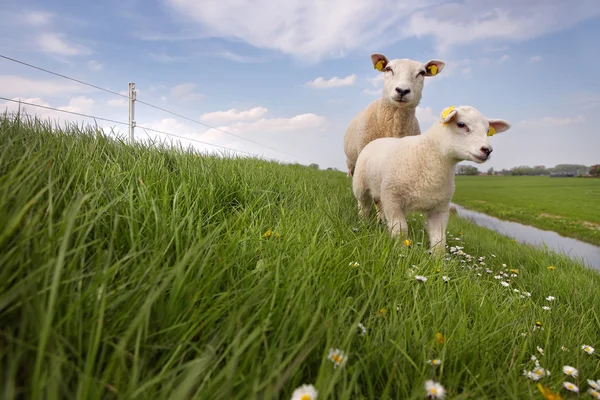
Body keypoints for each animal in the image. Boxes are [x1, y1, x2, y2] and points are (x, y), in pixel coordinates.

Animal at [352, 104, 510, 255]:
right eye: (461, 124)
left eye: (487, 130)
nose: (487, 150)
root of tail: (377, 140)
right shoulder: (392, 200)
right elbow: (401, 231)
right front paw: (400, 252)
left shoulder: (440, 208)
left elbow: (439, 240)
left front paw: (437, 261)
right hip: (361, 186)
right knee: (364, 206)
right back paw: (363, 223)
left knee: (378, 205)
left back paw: (380, 221)